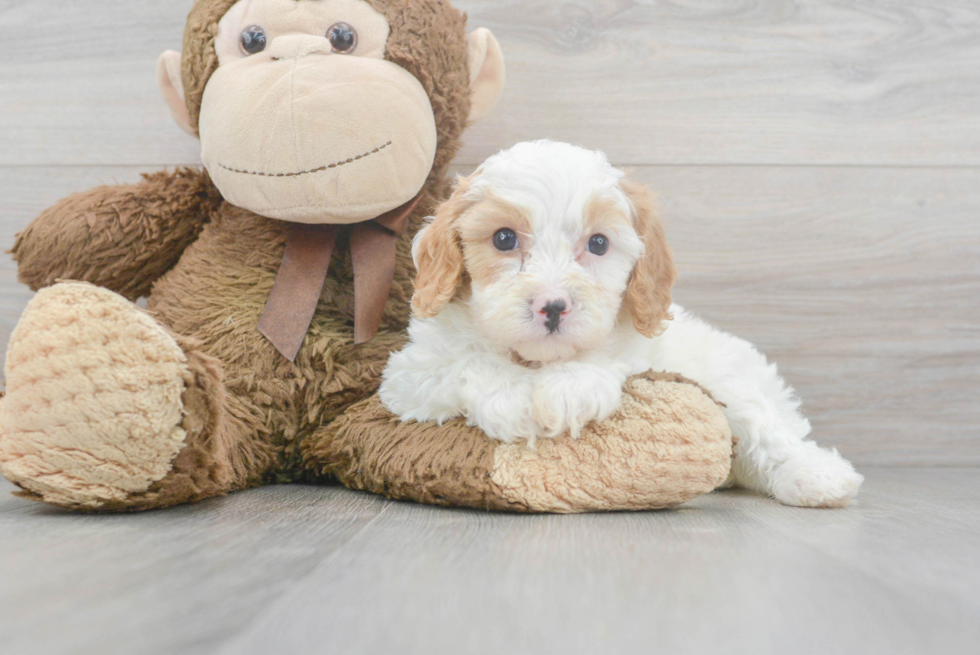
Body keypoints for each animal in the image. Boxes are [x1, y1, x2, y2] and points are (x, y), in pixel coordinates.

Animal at [378, 140, 860, 508]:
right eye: (503, 238)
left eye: (598, 244)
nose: (553, 306)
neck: (537, 362)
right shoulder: (412, 374)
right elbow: (469, 362)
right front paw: (512, 399)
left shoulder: (642, 350)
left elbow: (606, 359)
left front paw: (568, 389)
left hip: (731, 380)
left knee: (771, 433)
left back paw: (817, 477)